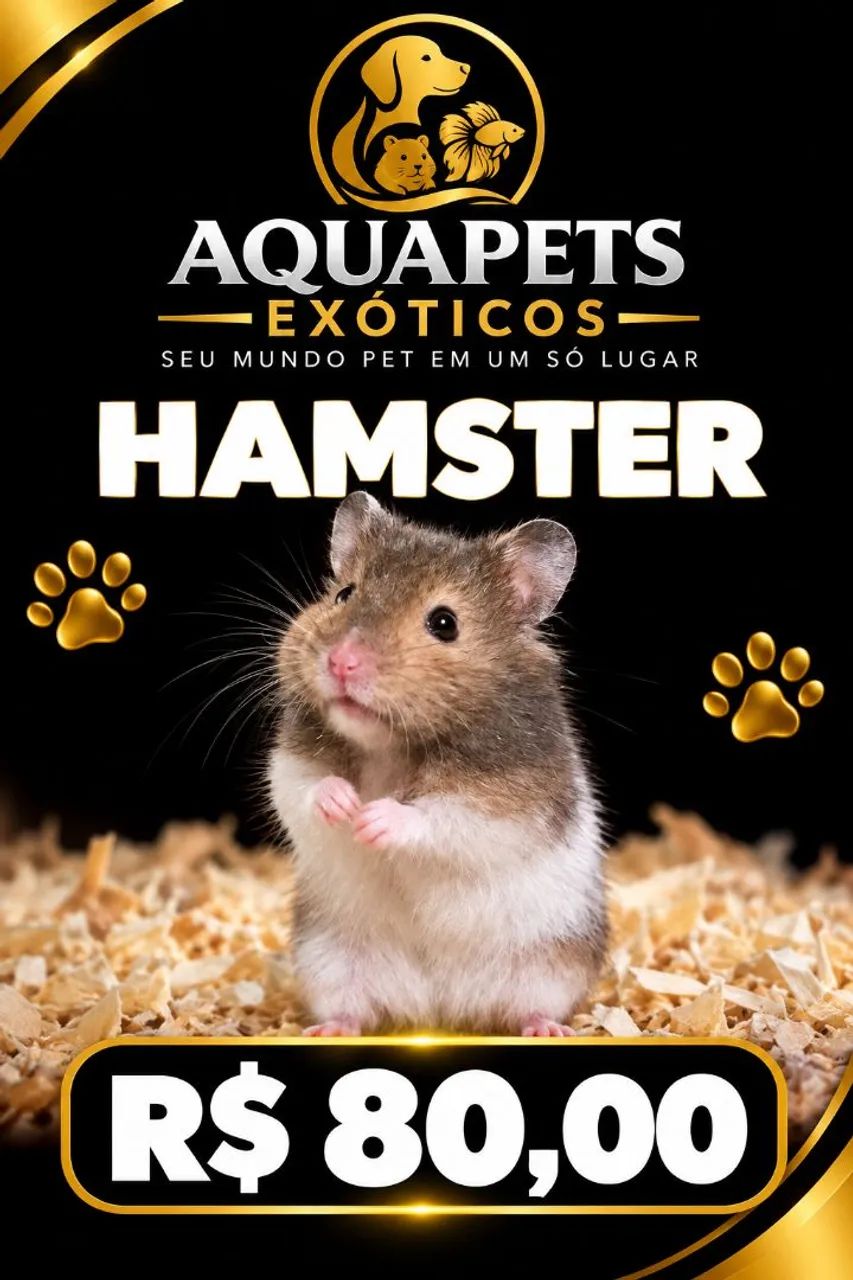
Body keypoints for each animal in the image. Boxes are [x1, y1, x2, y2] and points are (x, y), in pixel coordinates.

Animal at [268, 493, 606, 1037]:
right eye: (344, 594)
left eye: (444, 623)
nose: (341, 662)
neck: (391, 745)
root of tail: (440, 1007)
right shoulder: (290, 763)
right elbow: (301, 788)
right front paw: (345, 804)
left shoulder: (510, 802)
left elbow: (444, 819)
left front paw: (373, 818)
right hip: (328, 959)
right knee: (351, 1008)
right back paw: (329, 1028)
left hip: (552, 965)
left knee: (530, 1006)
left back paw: (547, 1029)